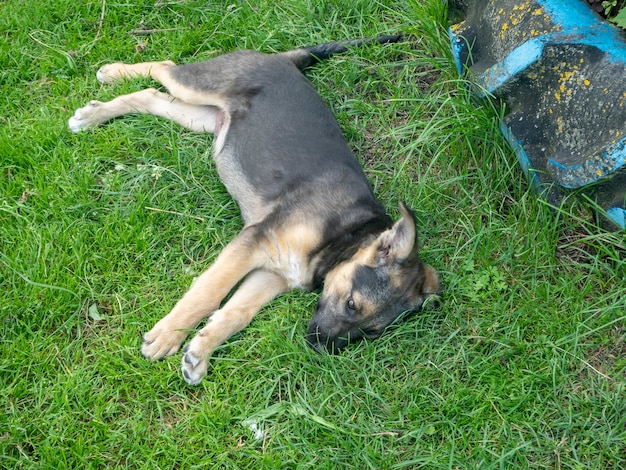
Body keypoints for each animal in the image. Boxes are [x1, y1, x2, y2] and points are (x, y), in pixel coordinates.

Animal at [69, 35, 438, 384]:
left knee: (150, 96)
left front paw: (200, 351)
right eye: (352, 304)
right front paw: (168, 336)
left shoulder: (272, 273)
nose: (317, 347)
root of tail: (282, 59)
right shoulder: (254, 241)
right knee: (164, 67)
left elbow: (236, 312)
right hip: (198, 86)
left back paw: (94, 113)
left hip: (203, 119)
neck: (344, 236)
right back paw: (109, 80)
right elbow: (208, 293)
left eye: (370, 332)